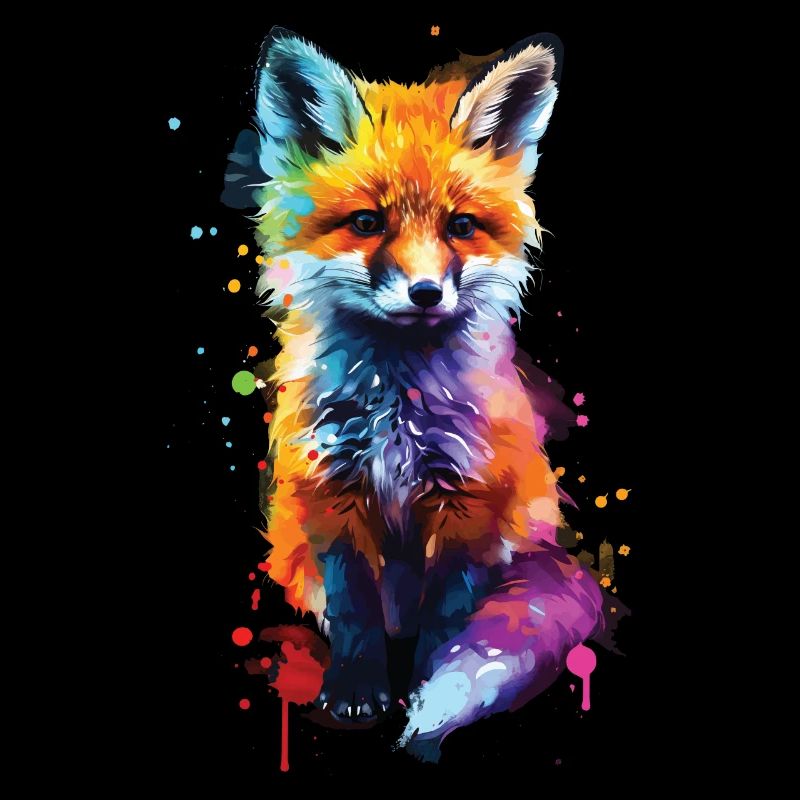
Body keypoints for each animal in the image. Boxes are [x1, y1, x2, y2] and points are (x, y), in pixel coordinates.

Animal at [224, 27, 607, 762]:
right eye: (367, 223)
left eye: (460, 226)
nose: (426, 293)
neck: (396, 406)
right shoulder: (332, 493)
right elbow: (353, 610)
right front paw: (354, 691)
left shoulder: (467, 500)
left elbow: (447, 621)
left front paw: (424, 691)